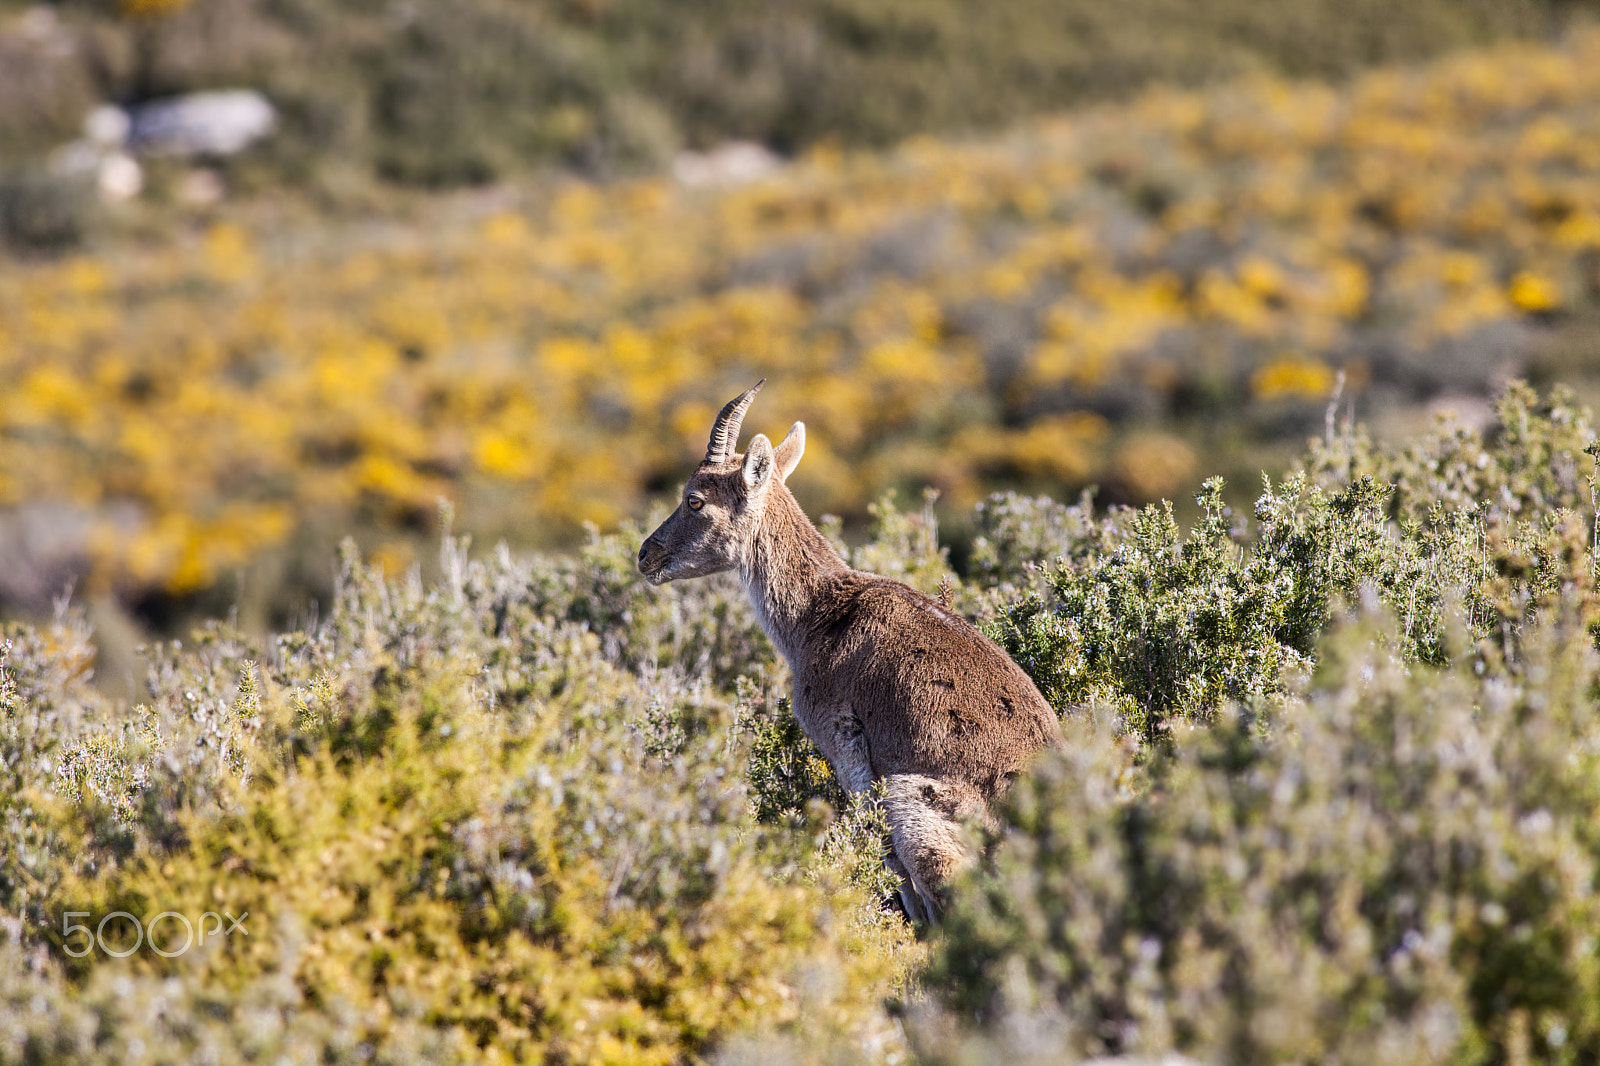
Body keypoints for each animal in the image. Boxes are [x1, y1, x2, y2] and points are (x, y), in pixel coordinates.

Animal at [637, 381, 1062, 922]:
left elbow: (887, 860)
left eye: (694, 500)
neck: (820, 614)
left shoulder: (846, 746)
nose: (646, 554)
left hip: (914, 806)